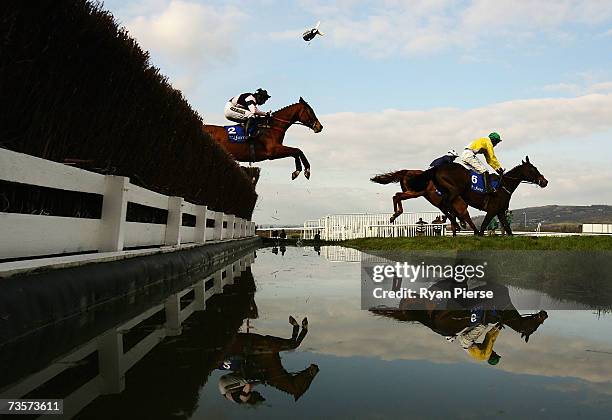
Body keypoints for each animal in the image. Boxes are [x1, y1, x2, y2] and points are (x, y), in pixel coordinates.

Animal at [408, 158, 548, 236]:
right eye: (533, 169)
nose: (545, 181)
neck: (503, 185)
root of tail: (438, 168)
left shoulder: (500, 212)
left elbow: (508, 230)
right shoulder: (492, 210)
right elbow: (483, 227)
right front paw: (478, 234)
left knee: (445, 206)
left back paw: (458, 223)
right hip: (454, 190)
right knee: (446, 204)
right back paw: (459, 223)